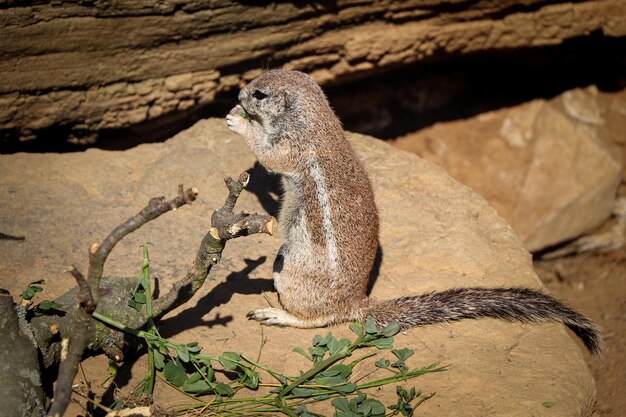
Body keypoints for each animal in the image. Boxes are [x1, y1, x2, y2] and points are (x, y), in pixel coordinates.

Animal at [224, 68, 600, 354]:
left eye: (259, 94)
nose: (239, 93)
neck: (312, 119)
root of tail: (357, 302)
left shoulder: (292, 148)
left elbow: (269, 156)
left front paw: (238, 122)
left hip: (290, 271)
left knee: (319, 319)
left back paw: (278, 314)